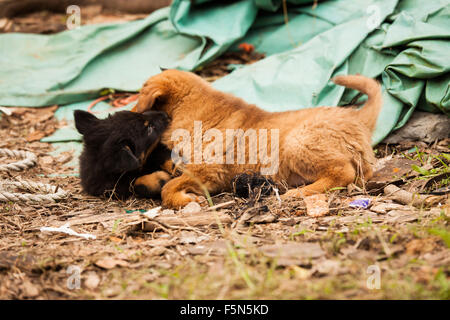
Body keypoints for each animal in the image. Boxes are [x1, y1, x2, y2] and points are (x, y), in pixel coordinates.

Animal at [132, 70, 382, 209]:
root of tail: (357, 117)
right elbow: (170, 180)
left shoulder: (208, 170)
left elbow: (168, 189)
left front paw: (186, 200)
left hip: (297, 143)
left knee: (342, 172)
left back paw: (299, 192)